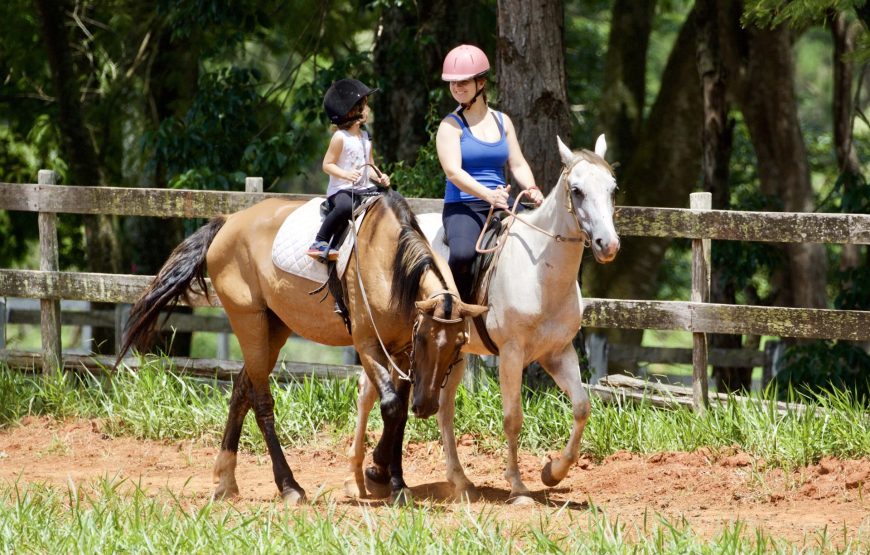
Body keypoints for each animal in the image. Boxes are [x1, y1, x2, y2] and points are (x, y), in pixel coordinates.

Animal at [118, 190, 488, 504]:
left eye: (458, 346)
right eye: (424, 338)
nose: (427, 406)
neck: (387, 263)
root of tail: (229, 221)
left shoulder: (401, 353)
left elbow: (397, 415)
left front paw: (391, 480)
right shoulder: (369, 346)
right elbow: (393, 407)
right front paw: (381, 478)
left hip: (274, 327)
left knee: (241, 391)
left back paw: (225, 480)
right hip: (249, 322)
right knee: (261, 401)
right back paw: (289, 486)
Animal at [344, 135, 624, 504]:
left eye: (612, 188)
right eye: (576, 190)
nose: (608, 245)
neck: (540, 271)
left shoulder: (558, 353)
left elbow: (581, 407)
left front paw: (553, 472)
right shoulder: (511, 354)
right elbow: (513, 418)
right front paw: (518, 487)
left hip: (449, 356)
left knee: (442, 409)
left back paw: (453, 479)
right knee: (367, 394)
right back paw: (359, 477)